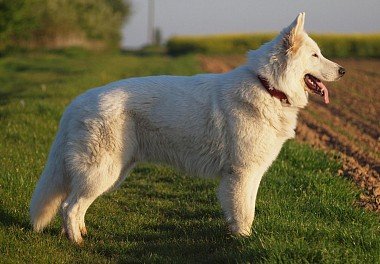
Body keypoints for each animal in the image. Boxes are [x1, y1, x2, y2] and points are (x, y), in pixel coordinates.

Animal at [29, 12, 344, 243]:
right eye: (315, 56)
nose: (343, 71)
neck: (267, 87)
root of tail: (77, 102)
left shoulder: (249, 175)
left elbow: (243, 212)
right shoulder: (243, 174)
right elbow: (245, 214)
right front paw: (244, 243)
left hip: (113, 172)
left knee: (73, 206)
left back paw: (81, 233)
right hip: (102, 172)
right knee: (69, 207)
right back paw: (77, 242)